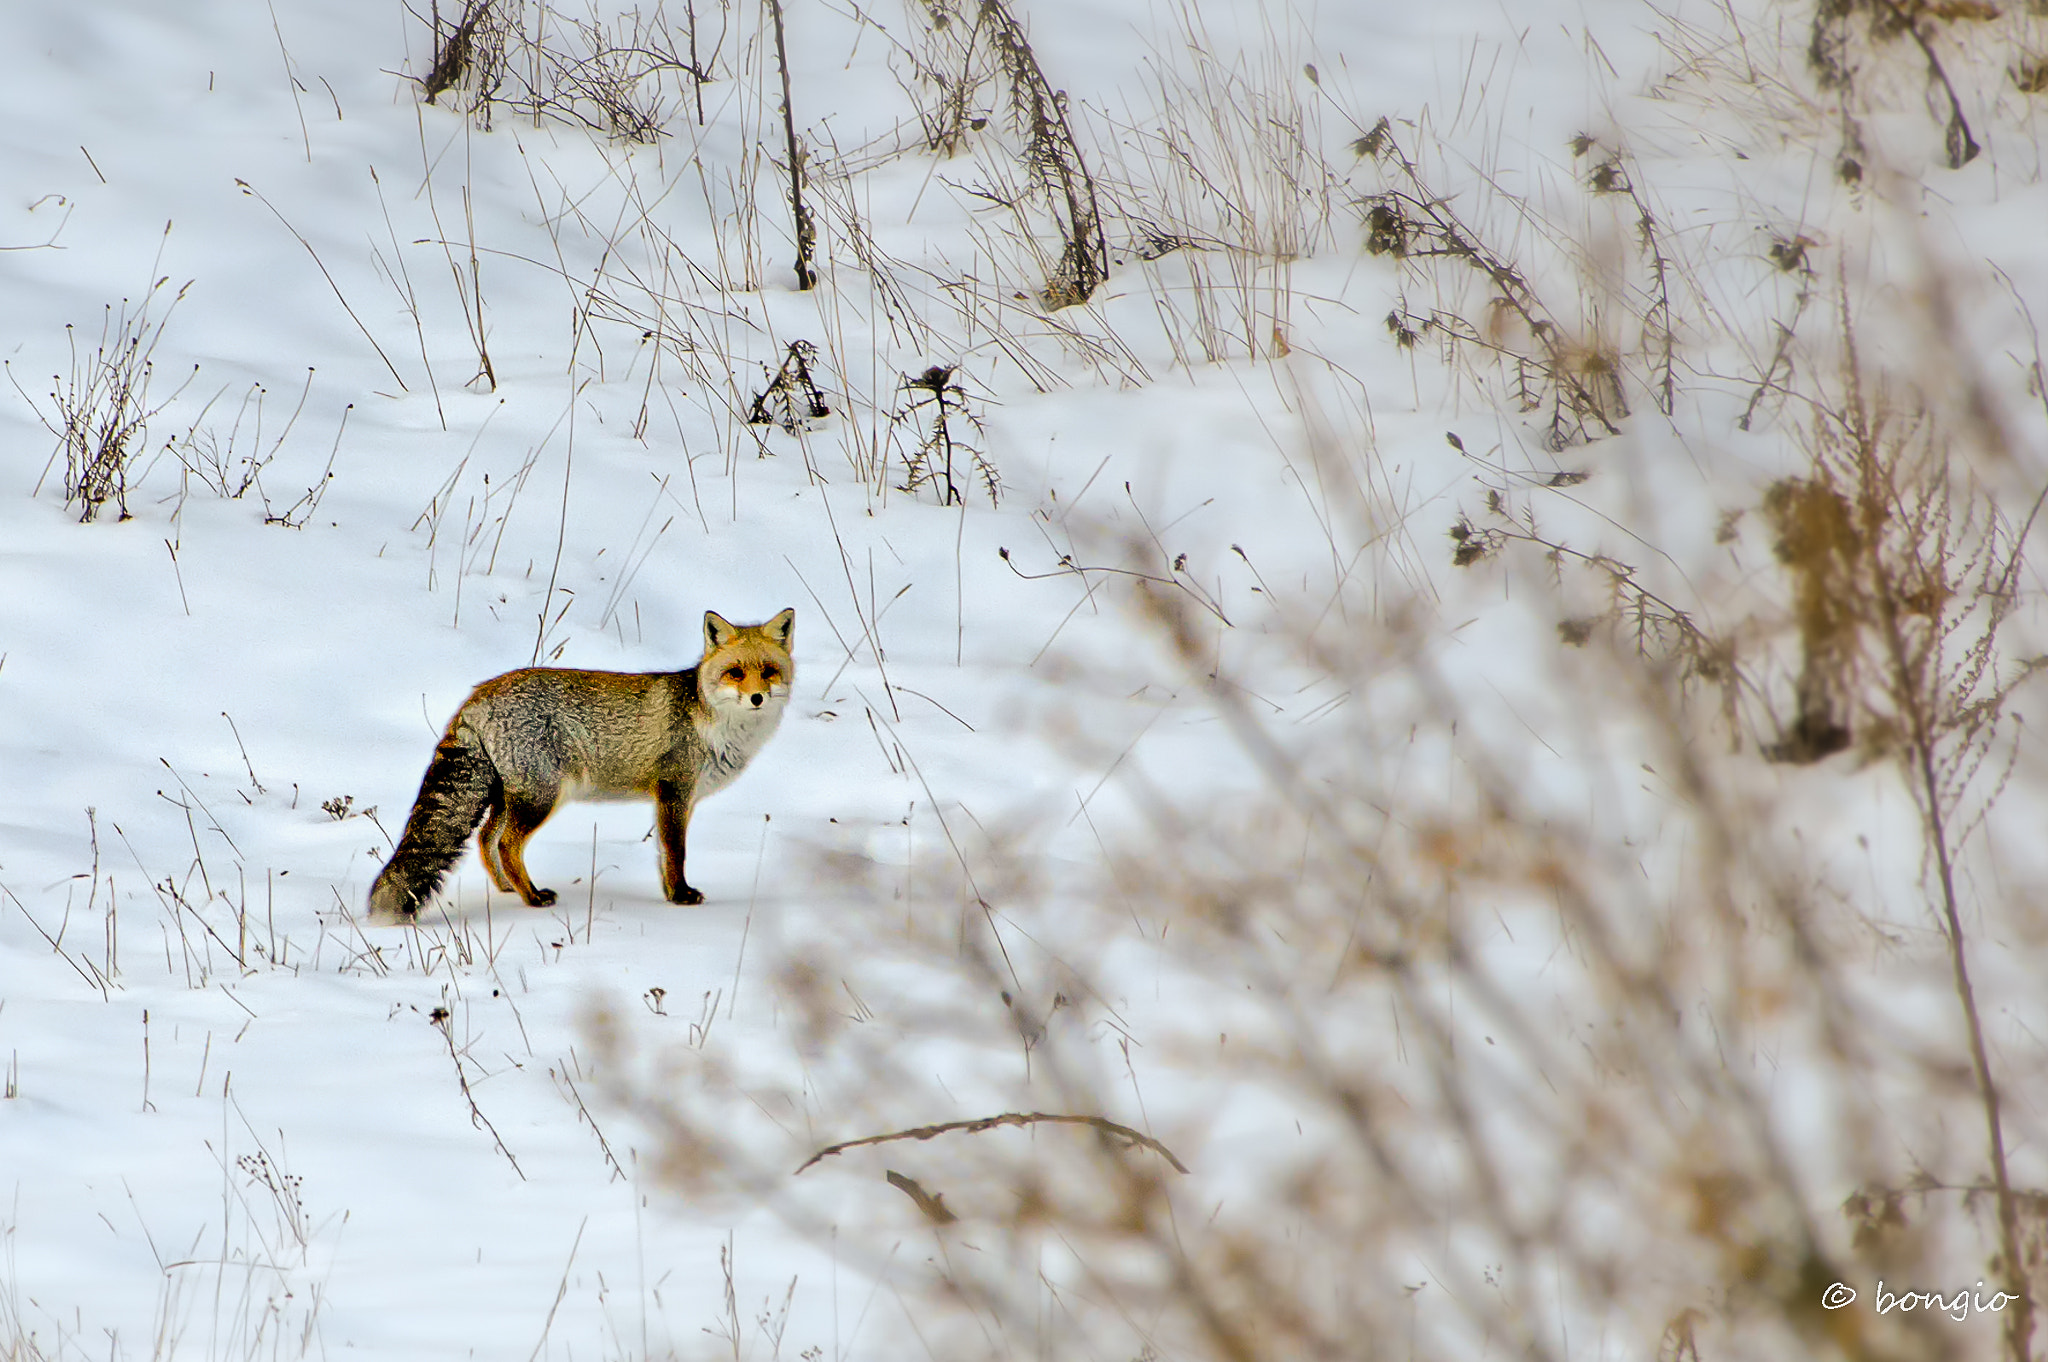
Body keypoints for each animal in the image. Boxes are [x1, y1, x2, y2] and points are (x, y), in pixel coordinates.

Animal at [368, 606, 790, 917]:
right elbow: (676, 852)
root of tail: (478, 693)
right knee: (506, 844)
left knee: (487, 840)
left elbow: (664, 854)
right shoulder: (675, 791)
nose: (757, 698)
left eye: (769, 672)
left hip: (510, 796)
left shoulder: (674, 798)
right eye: (735, 673)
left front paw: (671, 893)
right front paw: (680, 897)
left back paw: (507, 888)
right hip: (541, 796)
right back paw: (533, 898)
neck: (715, 724)